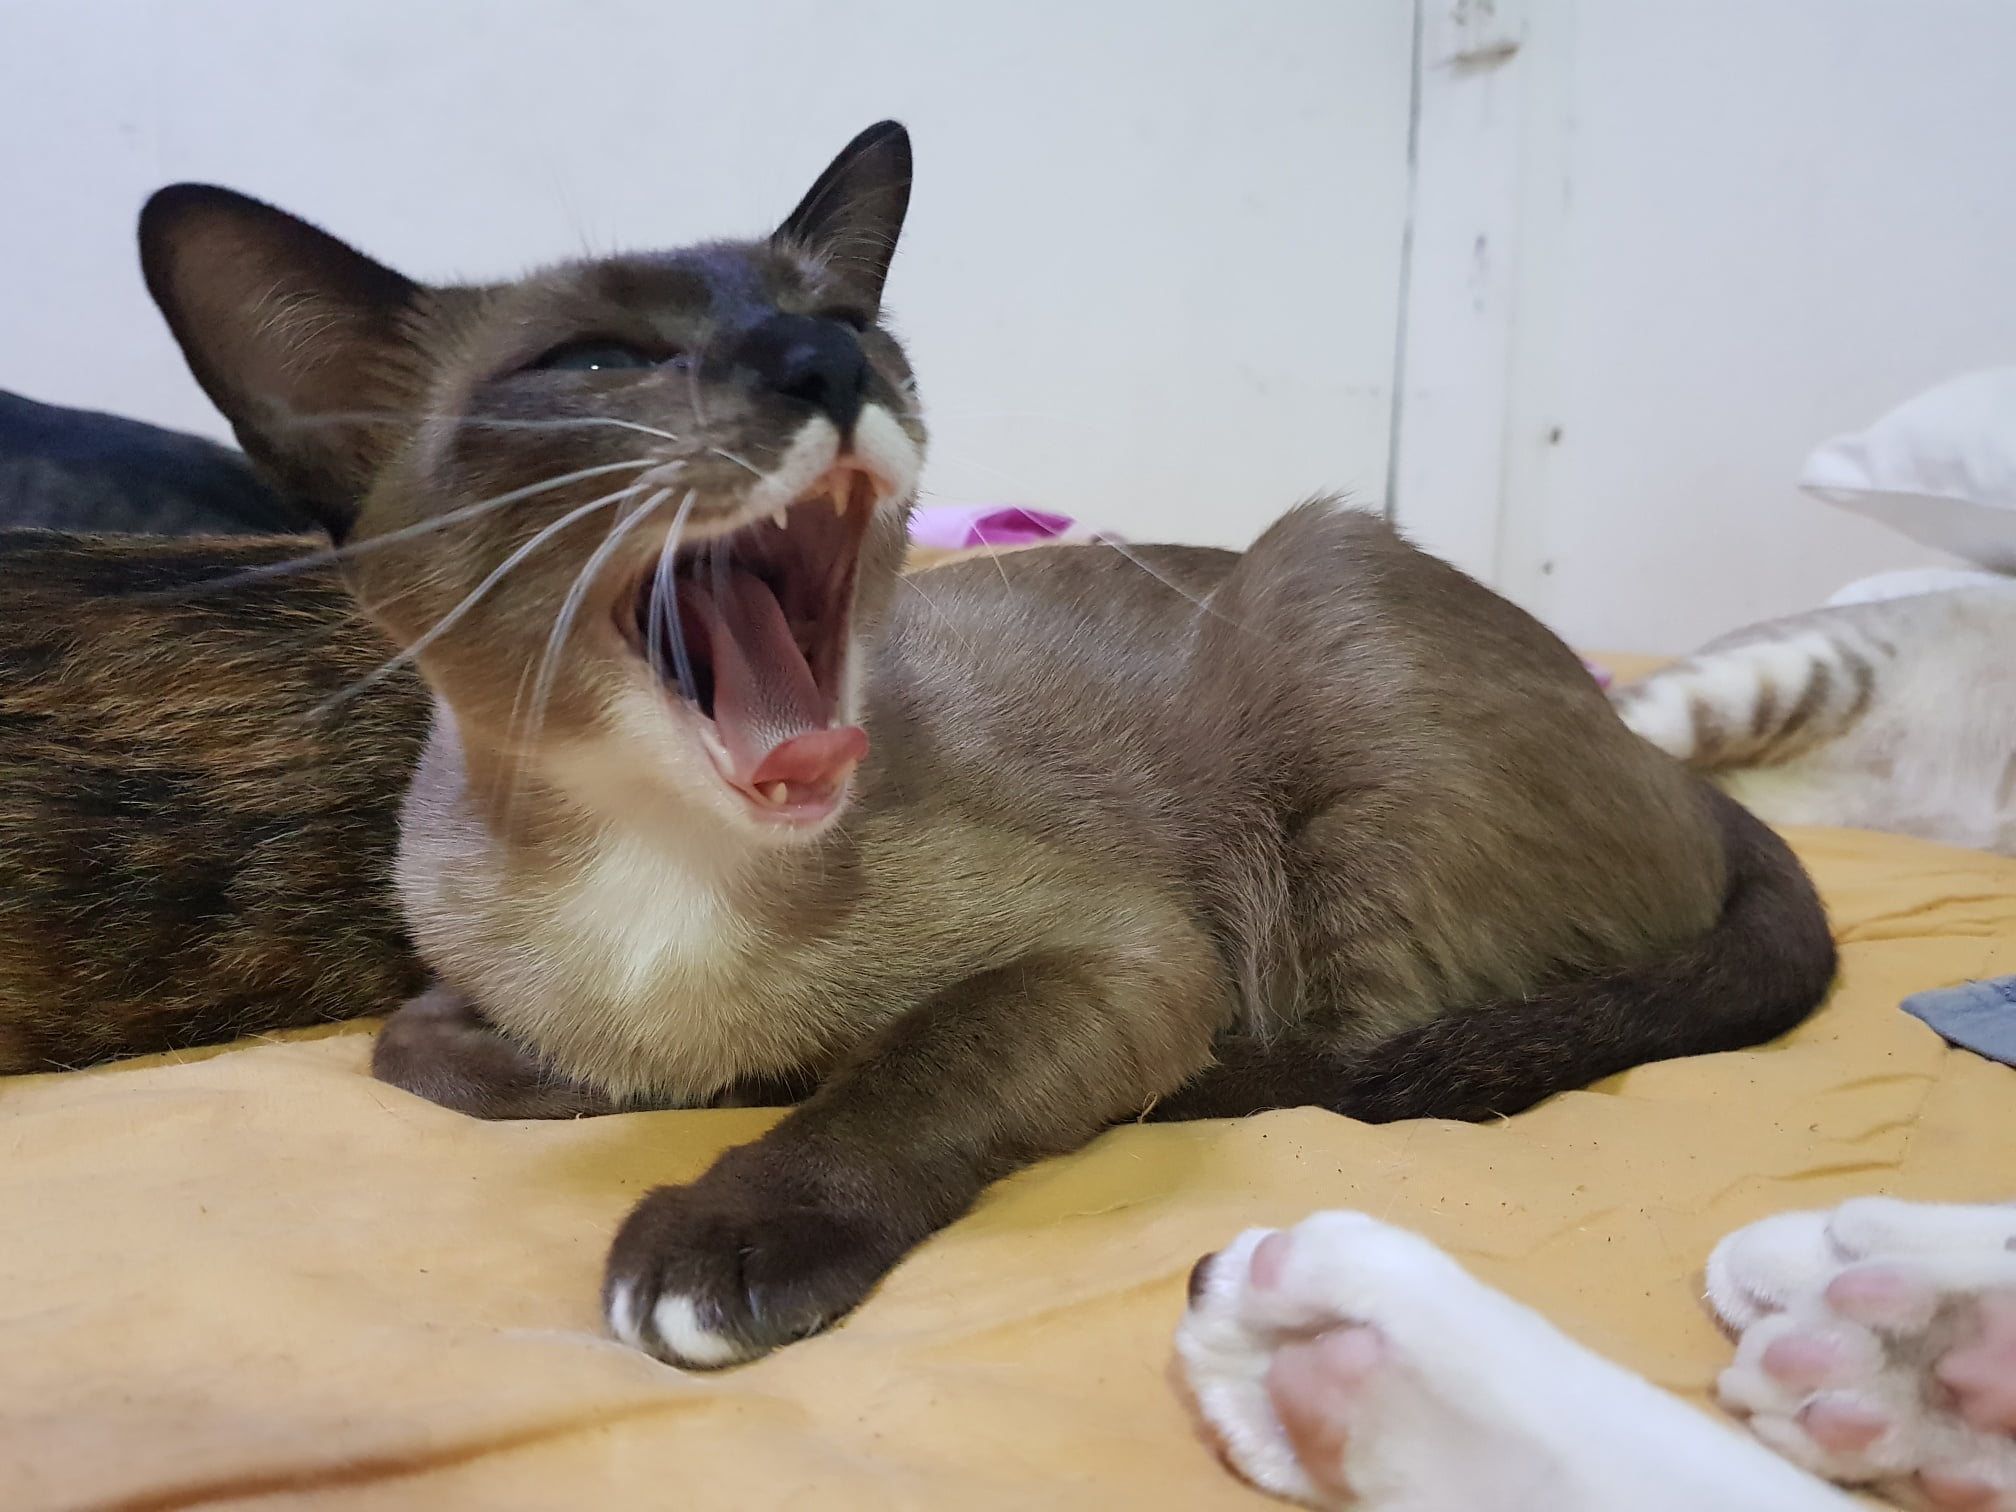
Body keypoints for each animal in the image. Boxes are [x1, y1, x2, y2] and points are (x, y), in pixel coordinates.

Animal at [0, 121, 1835, 1370]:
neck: (661, 869)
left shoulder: (1122, 961)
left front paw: (722, 1227)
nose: (824, 360)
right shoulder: (453, 1003)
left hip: (1323, 616)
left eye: (844, 322)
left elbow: (905, 1071)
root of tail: (1669, 758)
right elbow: (441, 1051)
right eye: (592, 358)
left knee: (1357, 1057)